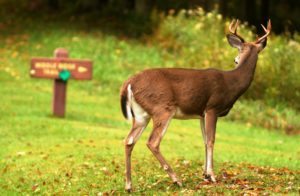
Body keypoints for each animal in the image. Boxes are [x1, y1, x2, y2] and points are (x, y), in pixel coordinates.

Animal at [119, 18, 272, 191]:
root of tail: (129, 82)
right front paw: (212, 176)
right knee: (152, 141)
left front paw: (205, 175)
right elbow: (211, 140)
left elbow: (204, 141)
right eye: (236, 58)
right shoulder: (212, 107)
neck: (232, 83)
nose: (236, 60)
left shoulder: (201, 113)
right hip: (162, 108)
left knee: (129, 140)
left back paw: (129, 185)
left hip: (141, 114)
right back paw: (176, 180)